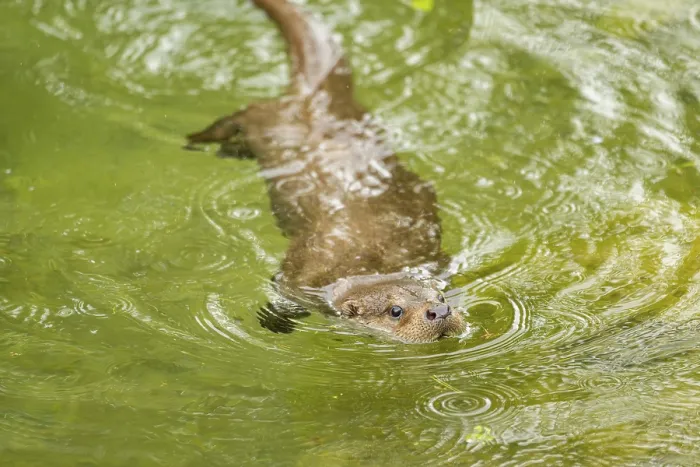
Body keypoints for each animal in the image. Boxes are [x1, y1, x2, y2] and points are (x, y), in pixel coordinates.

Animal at [186, 0, 465, 343]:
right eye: (395, 310)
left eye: (439, 296)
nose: (440, 311)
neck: (366, 270)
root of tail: (315, 98)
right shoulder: (300, 279)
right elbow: (282, 295)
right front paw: (273, 321)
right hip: (267, 120)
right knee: (238, 115)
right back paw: (198, 141)